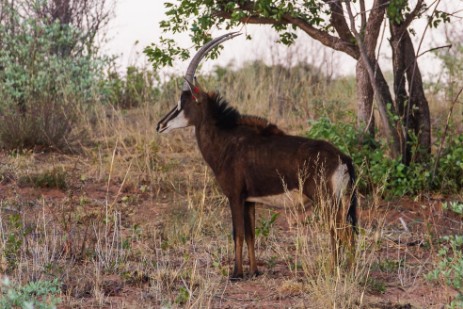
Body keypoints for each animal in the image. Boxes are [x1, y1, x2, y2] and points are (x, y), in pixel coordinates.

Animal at [158, 32, 358, 278]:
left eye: (181, 103)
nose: (160, 125)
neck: (227, 139)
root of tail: (343, 158)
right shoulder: (249, 200)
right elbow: (251, 234)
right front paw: (253, 271)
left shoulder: (234, 196)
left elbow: (237, 233)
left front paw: (236, 273)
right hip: (340, 201)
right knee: (344, 232)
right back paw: (343, 270)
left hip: (326, 200)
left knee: (341, 232)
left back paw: (338, 272)